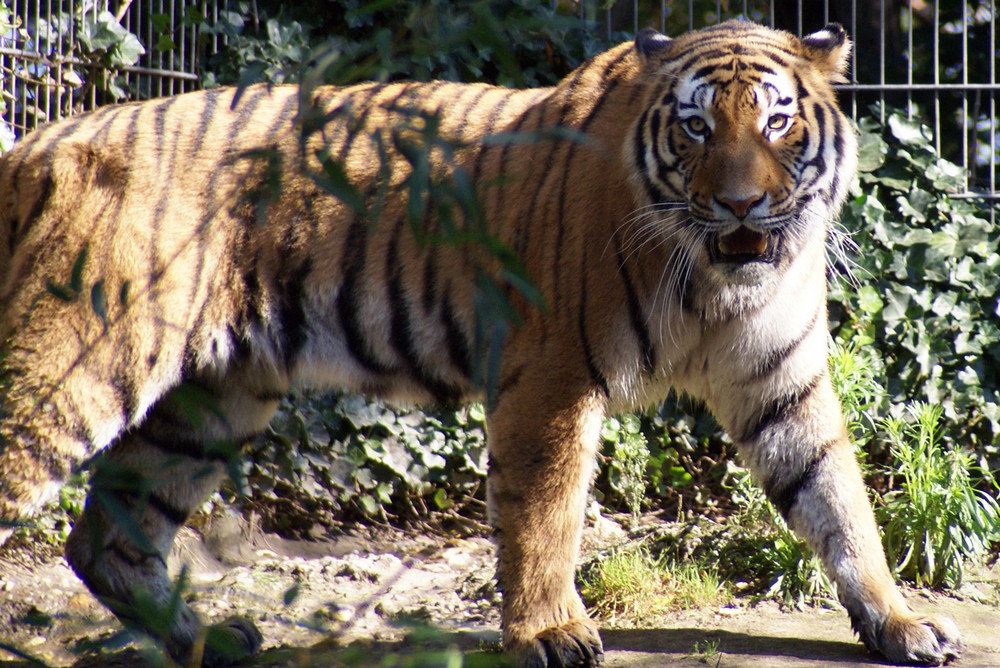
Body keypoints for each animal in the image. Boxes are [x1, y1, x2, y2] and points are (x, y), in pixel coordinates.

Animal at [1, 20, 968, 668]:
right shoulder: (552, 376)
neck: (718, 281)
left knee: (107, 537)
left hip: (214, 401)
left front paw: (899, 620)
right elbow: (544, 514)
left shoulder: (782, 382)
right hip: (81, 369)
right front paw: (551, 632)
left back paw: (211, 637)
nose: (739, 204)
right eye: (697, 128)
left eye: (775, 124)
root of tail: (39, 141)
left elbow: (840, 500)